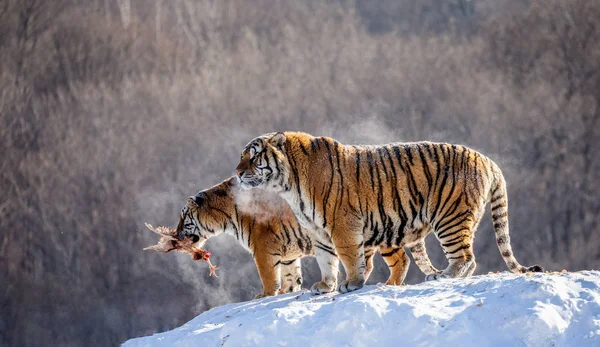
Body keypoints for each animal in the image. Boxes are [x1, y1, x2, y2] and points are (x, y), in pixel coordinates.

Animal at [173, 178, 440, 298]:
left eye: (183, 216)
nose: (175, 234)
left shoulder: (263, 250)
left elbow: (268, 276)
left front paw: (265, 295)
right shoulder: (288, 255)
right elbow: (291, 277)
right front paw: (286, 292)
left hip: (382, 236)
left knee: (401, 260)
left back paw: (390, 284)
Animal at [234, 132, 544, 294]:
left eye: (254, 156)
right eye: (242, 155)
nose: (236, 172)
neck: (289, 184)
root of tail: (488, 161)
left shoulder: (343, 225)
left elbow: (349, 257)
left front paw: (351, 283)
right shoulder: (319, 231)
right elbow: (327, 260)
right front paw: (326, 285)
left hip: (450, 219)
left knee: (465, 258)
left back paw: (443, 276)